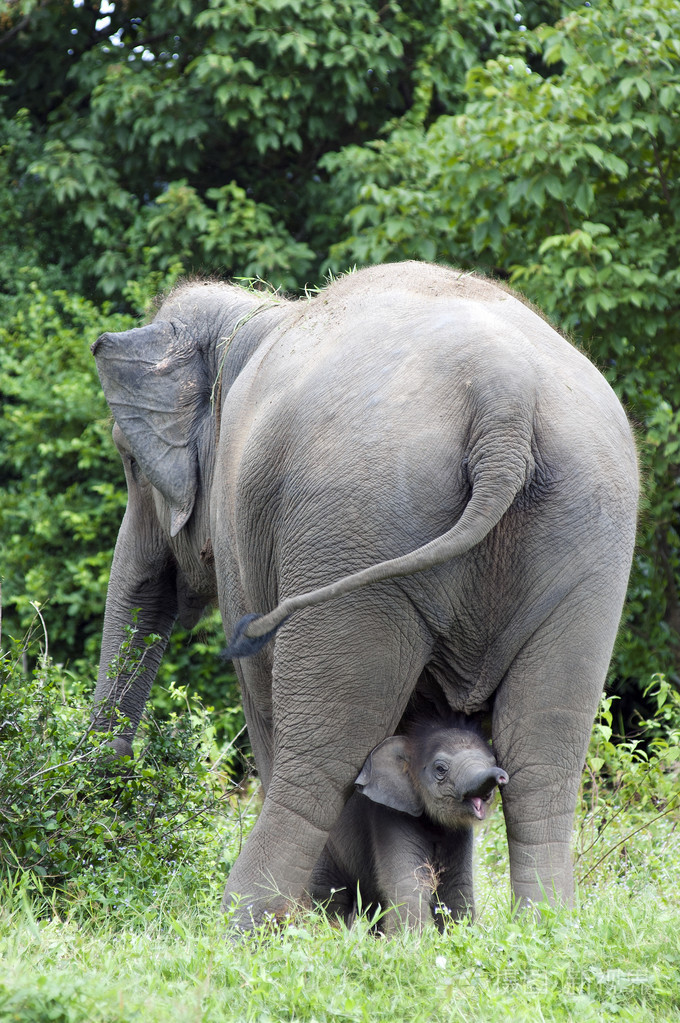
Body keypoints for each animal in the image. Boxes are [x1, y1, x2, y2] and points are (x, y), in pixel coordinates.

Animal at [309, 707, 508, 933]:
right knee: (329, 895)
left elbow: (457, 887)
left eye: (493, 762)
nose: (502, 776)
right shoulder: (390, 815)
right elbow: (407, 883)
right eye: (440, 769)